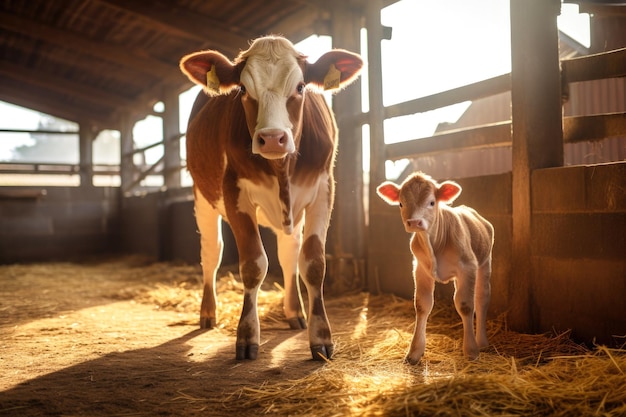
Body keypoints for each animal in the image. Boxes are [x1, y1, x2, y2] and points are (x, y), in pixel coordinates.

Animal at [178, 36, 360, 360]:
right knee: (212, 252)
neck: (281, 168)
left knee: (288, 254)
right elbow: (253, 264)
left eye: (300, 87)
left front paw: (320, 336)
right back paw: (208, 312)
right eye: (242, 89)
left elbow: (313, 263)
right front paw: (247, 335)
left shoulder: (323, 190)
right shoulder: (235, 193)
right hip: (202, 197)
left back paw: (295, 313)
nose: (273, 138)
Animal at [376, 171, 492, 362]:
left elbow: (466, 305)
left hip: (484, 263)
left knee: (481, 299)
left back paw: (482, 342)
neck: (434, 242)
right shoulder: (420, 269)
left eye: (431, 202)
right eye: (401, 203)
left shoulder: (468, 267)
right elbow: (422, 305)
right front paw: (414, 352)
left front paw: (471, 350)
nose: (414, 222)